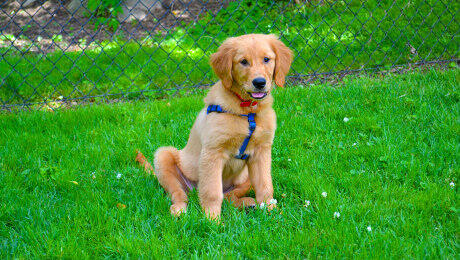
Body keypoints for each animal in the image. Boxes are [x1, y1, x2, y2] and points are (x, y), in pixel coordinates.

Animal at [136, 33, 292, 220]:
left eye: (267, 59)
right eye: (243, 62)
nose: (259, 82)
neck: (247, 111)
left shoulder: (262, 152)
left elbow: (265, 185)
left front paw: (272, 211)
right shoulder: (213, 153)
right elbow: (212, 192)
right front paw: (212, 220)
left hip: (245, 176)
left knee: (230, 196)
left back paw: (248, 203)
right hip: (164, 156)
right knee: (180, 193)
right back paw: (179, 209)